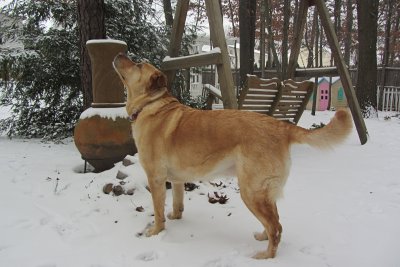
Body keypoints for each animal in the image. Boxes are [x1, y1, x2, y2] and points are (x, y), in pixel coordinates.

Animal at [112, 53, 354, 260]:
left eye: (138, 65)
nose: (119, 54)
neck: (150, 104)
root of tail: (281, 126)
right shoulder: (178, 180)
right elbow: (177, 204)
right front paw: (175, 218)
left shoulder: (155, 179)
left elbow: (158, 210)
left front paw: (156, 231)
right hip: (263, 193)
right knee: (275, 222)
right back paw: (263, 237)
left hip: (251, 192)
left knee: (276, 227)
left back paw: (265, 256)